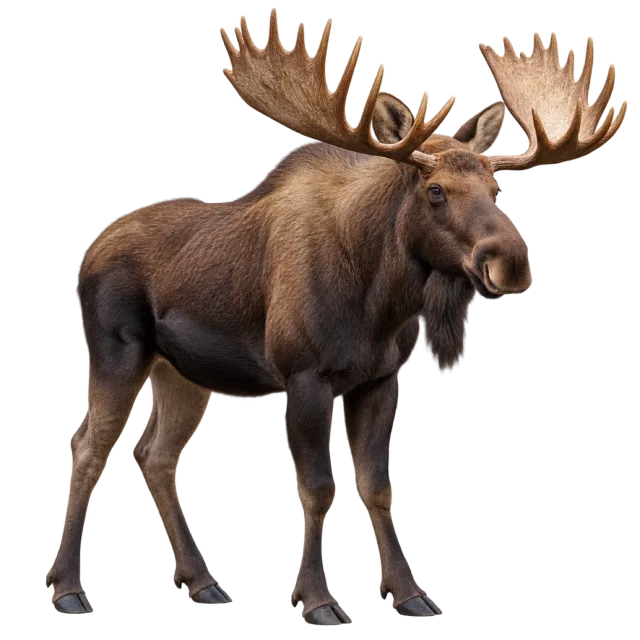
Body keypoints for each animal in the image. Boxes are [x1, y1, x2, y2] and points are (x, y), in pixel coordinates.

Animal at [48, 8, 627, 623]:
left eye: (497, 187)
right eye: (436, 189)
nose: (512, 260)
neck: (379, 304)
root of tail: (88, 251)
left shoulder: (380, 379)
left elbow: (375, 486)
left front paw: (410, 593)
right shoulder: (304, 376)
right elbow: (319, 488)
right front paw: (317, 601)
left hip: (183, 373)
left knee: (154, 455)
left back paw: (202, 582)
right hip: (117, 351)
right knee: (87, 446)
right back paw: (67, 588)